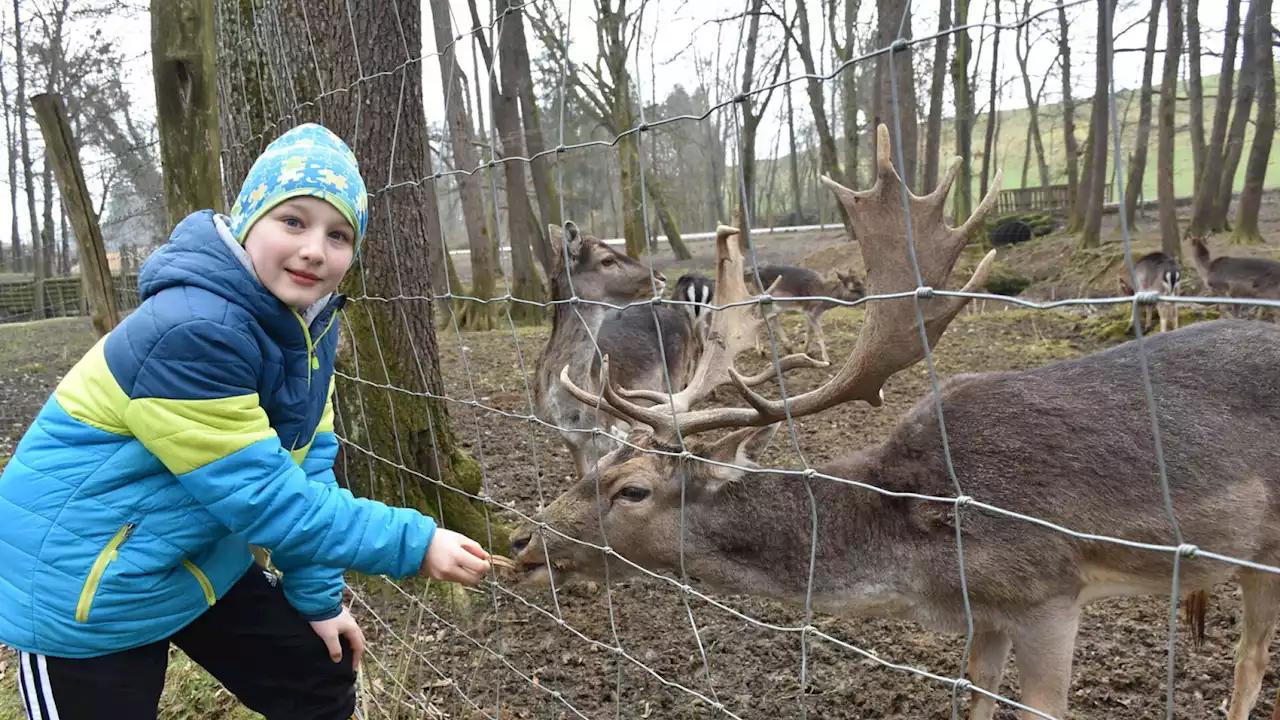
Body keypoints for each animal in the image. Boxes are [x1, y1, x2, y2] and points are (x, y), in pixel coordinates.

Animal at [742, 263, 870, 361]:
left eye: (862, 283)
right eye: (852, 289)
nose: (866, 301)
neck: (823, 300)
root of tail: (752, 275)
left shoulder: (812, 313)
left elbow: (810, 331)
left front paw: (805, 350)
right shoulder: (811, 311)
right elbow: (820, 333)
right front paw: (826, 359)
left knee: (770, 318)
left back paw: (784, 348)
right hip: (765, 299)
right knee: (759, 315)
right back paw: (761, 351)